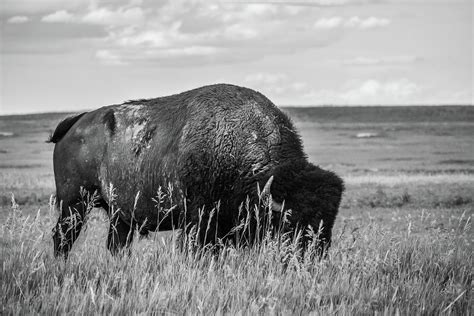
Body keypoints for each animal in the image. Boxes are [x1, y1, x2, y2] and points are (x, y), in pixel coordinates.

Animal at [49, 83, 344, 256]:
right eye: (290, 221)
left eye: (329, 220)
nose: (315, 254)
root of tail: (74, 125)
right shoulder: (198, 218)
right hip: (74, 202)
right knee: (63, 237)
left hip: (119, 214)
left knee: (116, 244)